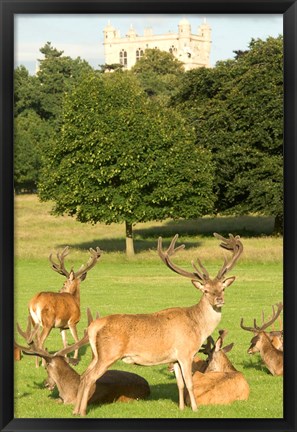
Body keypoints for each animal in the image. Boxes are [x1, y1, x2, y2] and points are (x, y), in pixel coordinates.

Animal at [72, 233, 243, 416]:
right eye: (206, 290)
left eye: (222, 288)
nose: (219, 299)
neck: (197, 327)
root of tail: (93, 326)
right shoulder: (185, 352)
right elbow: (189, 383)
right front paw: (195, 408)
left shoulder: (174, 358)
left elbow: (179, 384)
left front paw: (181, 407)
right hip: (109, 353)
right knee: (90, 377)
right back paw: (82, 411)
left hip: (96, 354)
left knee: (84, 375)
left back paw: (75, 410)